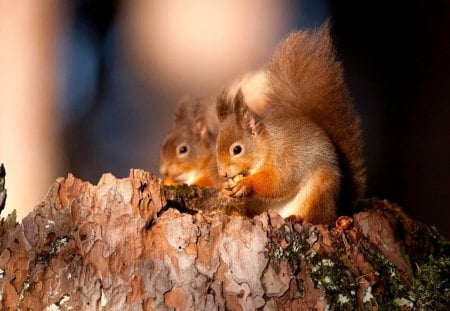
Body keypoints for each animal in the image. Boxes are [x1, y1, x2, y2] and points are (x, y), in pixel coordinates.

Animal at [216, 23, 368, 225]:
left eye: (237, 150)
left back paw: (298, 218)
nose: (223, 174)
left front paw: (246, 184)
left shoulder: (286, 160)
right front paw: (224, 189)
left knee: (318, 218)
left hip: (319, 191)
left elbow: (277, 182)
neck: (267, 145)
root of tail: (337, 207)